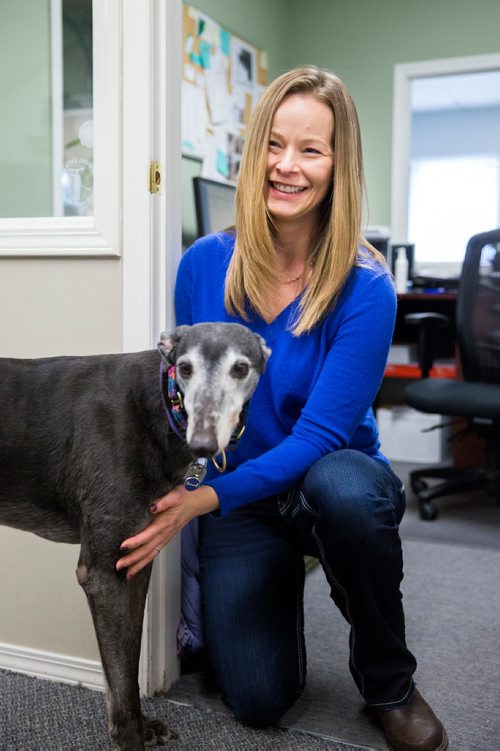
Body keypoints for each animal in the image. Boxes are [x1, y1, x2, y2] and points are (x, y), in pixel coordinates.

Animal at [0, 324, 270, 751]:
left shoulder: (135, 561)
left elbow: (125, 662)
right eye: (185, 368)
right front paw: (130, 738)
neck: (157, 403)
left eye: (240, 368)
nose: (202, 443)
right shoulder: (103, 574)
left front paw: (143, 728)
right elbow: (122, 677)